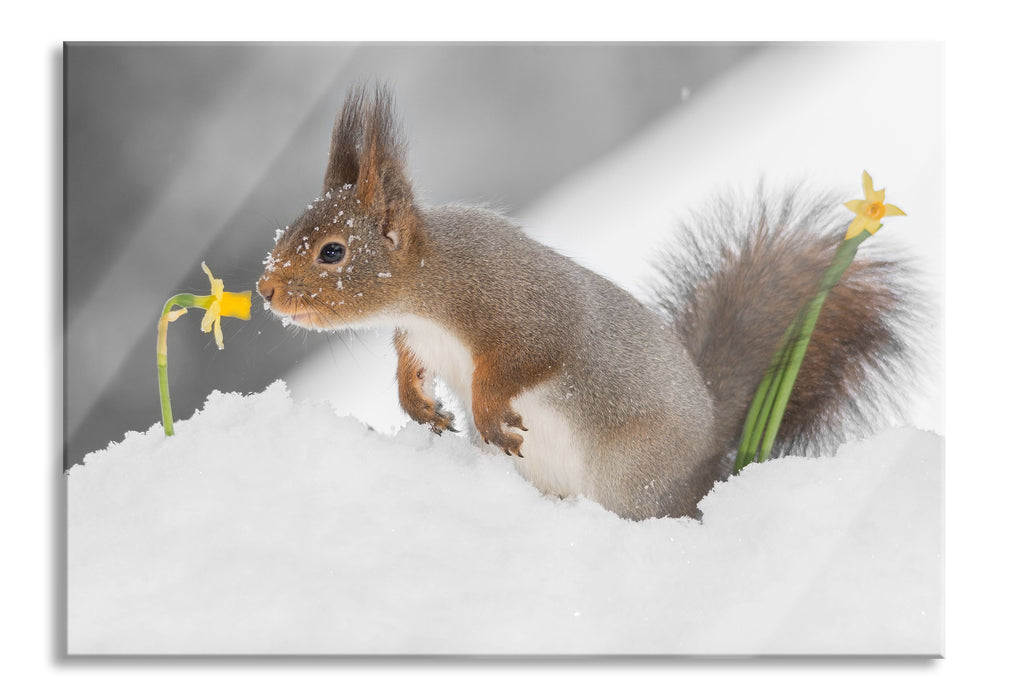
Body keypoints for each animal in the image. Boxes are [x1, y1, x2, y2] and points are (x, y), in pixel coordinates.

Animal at [258, 86, 924, 520]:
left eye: (333, 252)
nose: (265, 291)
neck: (429, 287)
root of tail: (711, 458)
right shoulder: (418, 338)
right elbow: (409, 367)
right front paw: (419, 405)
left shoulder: (522, 310)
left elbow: (527, 359)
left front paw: (488, 411)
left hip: (631, 477)